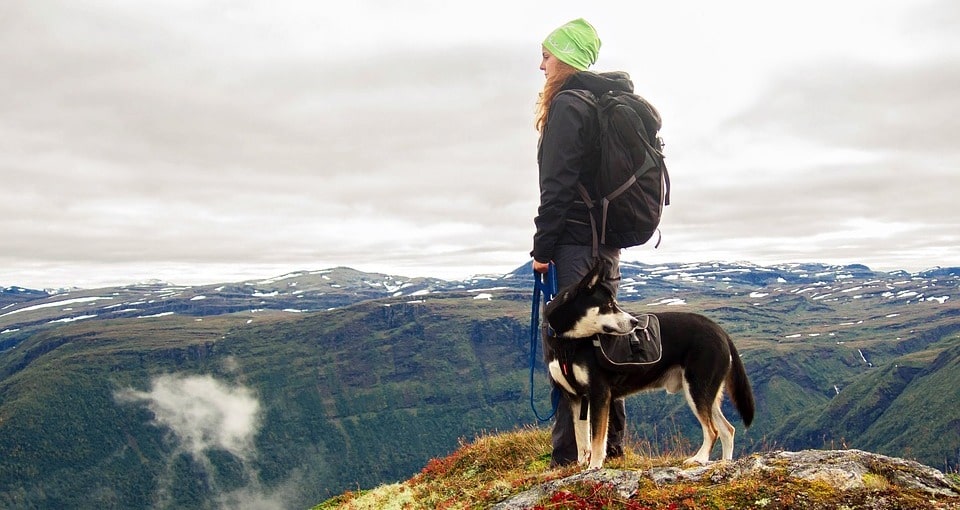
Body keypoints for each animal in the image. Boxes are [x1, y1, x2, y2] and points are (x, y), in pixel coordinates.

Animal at [544, 262, 752, 470]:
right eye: (609, 305)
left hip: (697, 389)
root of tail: (721, 332)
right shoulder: (576, 397)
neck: (567, 342)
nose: (635, 322)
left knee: (713, 430)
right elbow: (581, 439)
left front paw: (594, 466)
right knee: (728, 430)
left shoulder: (599, 393)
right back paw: (725, 463)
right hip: (706, 393)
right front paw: (580, 466)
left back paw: (699, 459)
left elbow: (596, 440)